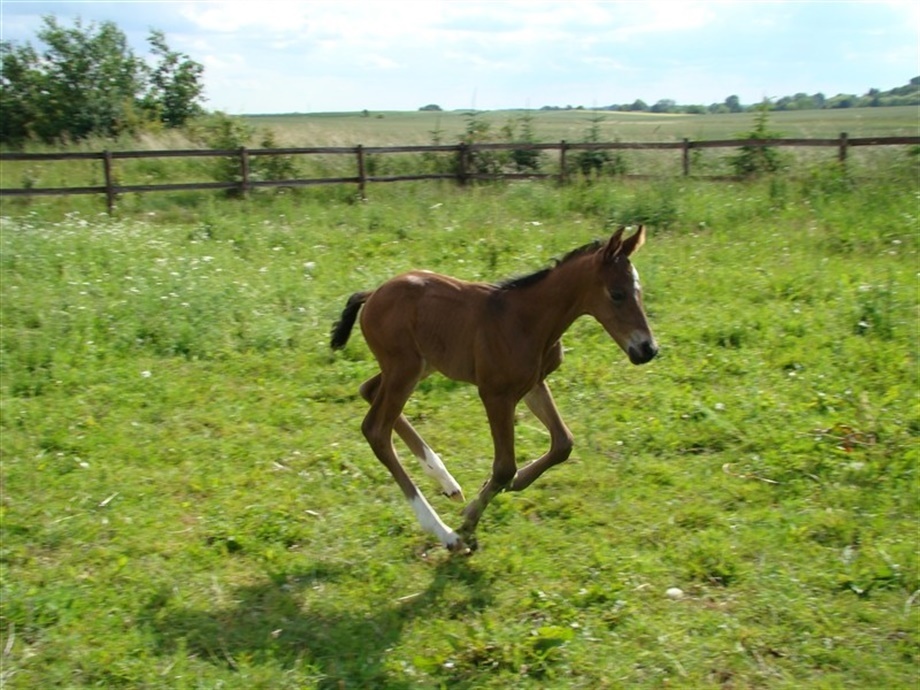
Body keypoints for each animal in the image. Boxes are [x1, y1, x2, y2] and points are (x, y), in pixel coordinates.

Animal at [330, 225, 658, 553]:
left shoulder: (533, 384)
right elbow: (504, 467)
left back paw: (447, 481)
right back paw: (445, 533)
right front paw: (467, 524)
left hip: (420, 365)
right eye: (616, 294)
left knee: (368, 389)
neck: (527, 320)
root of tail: (373, 294)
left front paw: (509, 485)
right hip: (404, 369)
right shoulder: (495, 393)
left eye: (640, 291)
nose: (647, 349)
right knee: (375, 429)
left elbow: (563, 443)